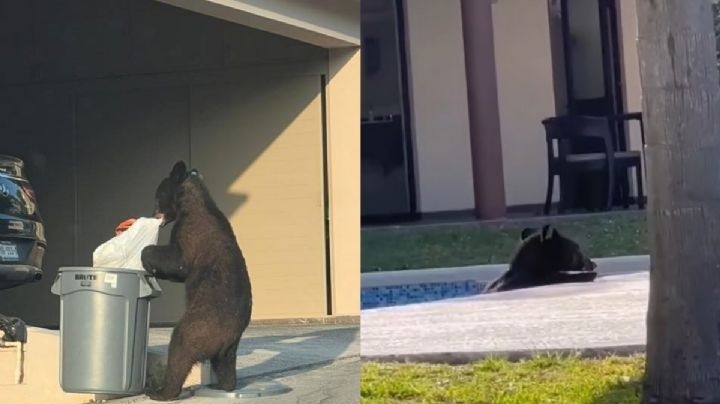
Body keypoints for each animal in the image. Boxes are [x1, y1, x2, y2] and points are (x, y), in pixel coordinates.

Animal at [141, 161, 252, 401]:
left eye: (157, 195)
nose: (153, 214)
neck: (190, 202)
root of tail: (226, 339)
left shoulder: (192, 232)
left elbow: (179, 261)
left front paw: (147, 257)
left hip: (200, 325)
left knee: (180, 347)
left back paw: (162, 391)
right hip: (229, 349)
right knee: (225, 365)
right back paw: (223, 385)